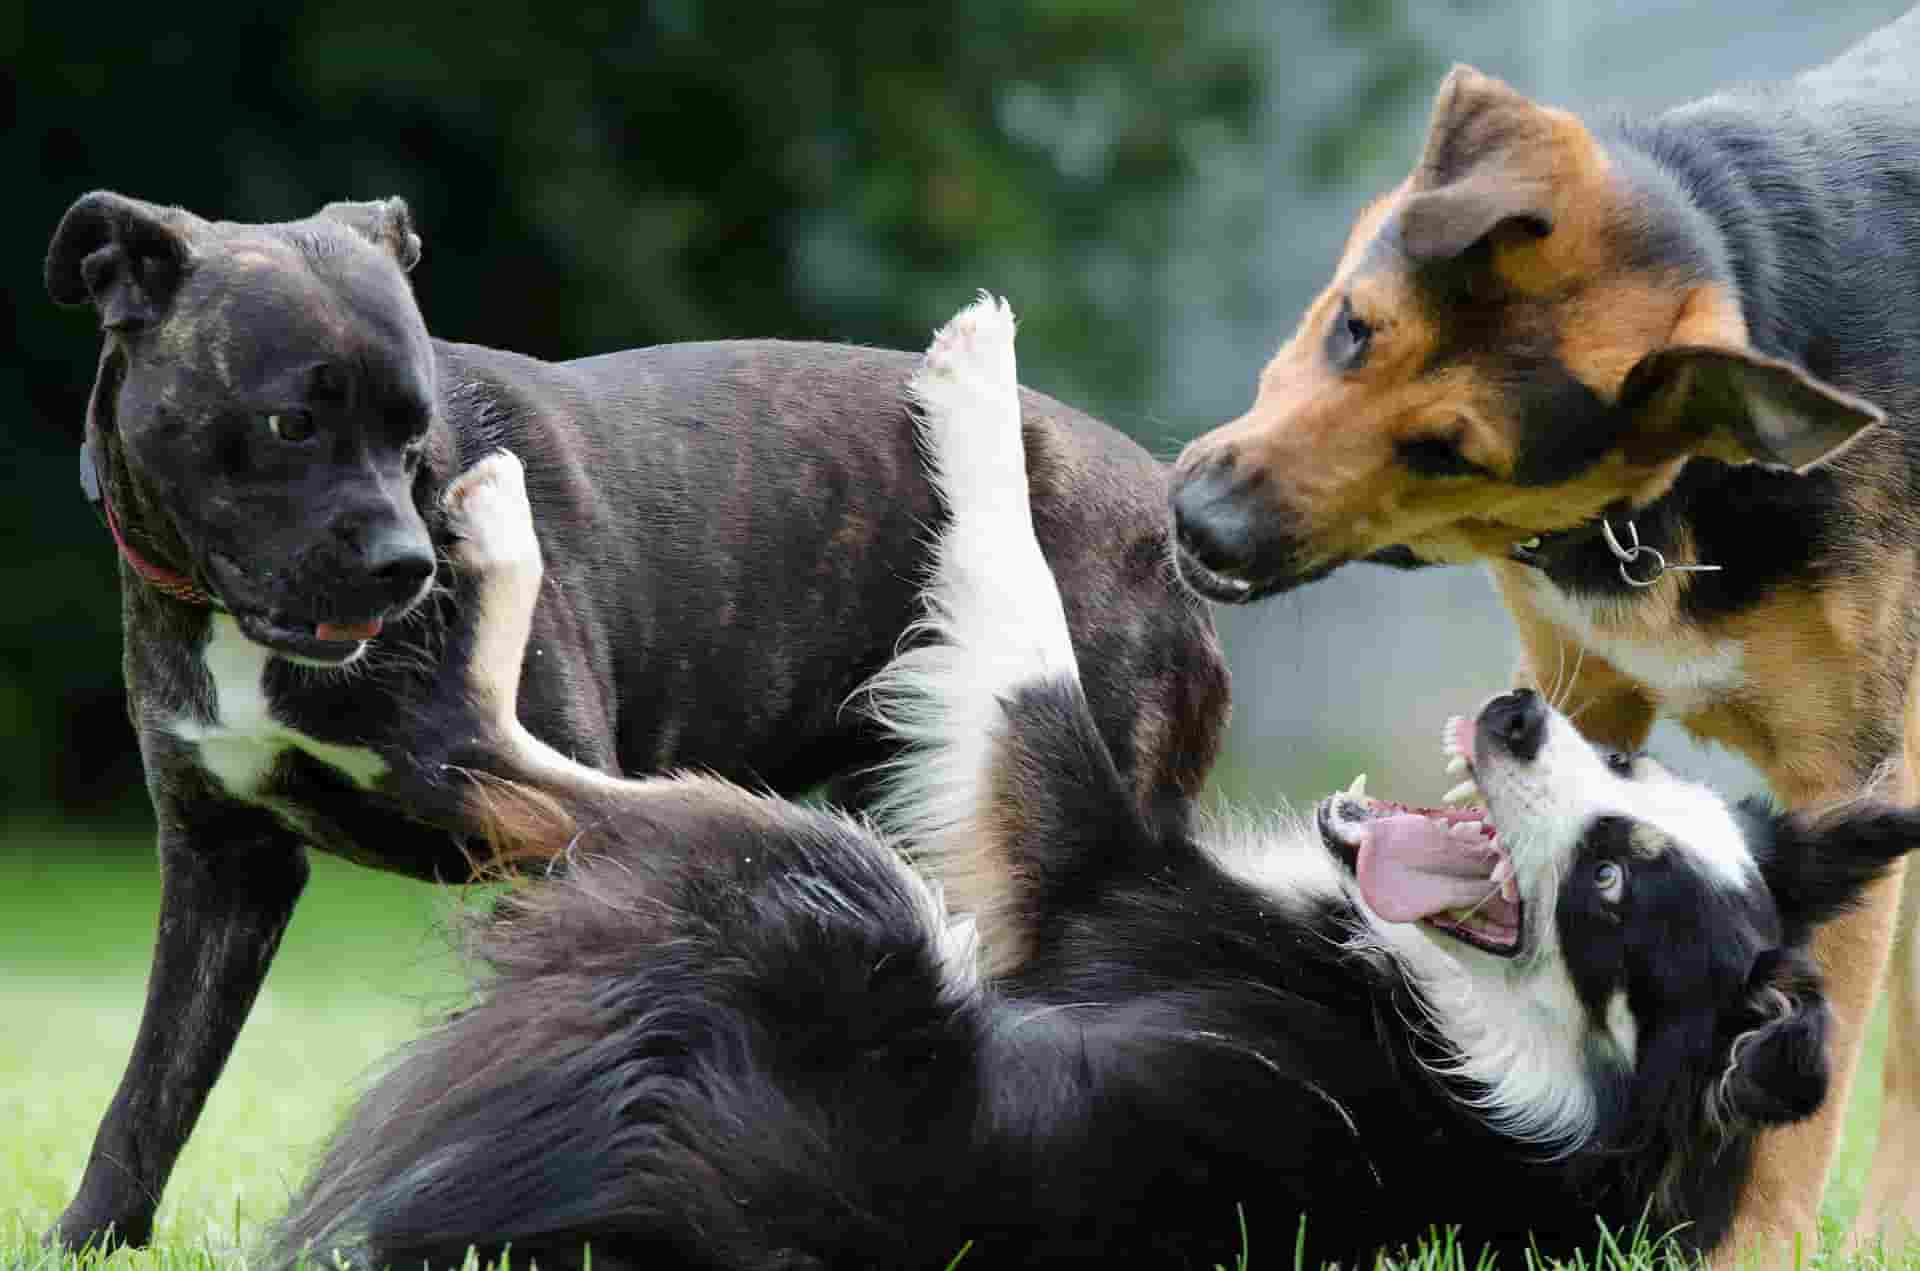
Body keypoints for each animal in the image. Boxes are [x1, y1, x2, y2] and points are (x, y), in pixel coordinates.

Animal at [41, 191, 1228, 1251]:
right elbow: (155, 1081)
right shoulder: (221, 863)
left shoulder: (541, 845)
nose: (407, 564)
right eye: (289, 423)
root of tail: (1160, 509)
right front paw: (90, 1234)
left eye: (415, 434)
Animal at [1159, 9, 1920, 1267]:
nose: (1196, 526)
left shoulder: (1847, 771)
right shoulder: (1581, 689)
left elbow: (1794, 1114)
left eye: (1447, 452)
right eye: (1353, 329)